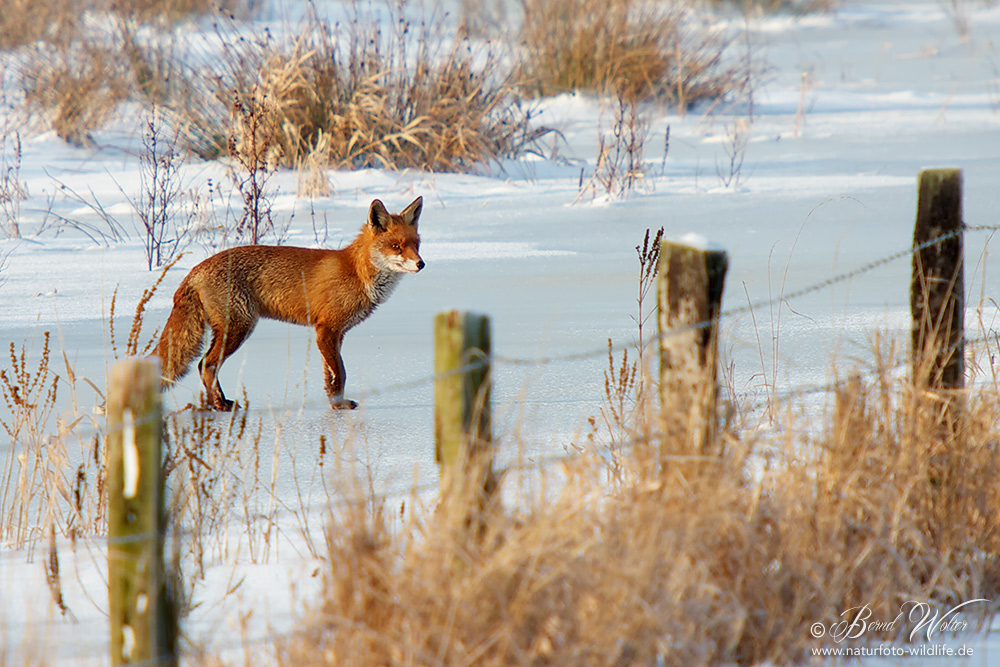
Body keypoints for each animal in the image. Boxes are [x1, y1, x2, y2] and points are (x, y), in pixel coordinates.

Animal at [154, 196, 424, 410]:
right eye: (396, 247)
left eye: (416, 245)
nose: (421, 264)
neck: (357, 272)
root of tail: (195, 269)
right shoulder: (326, 329)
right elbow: (341, 372)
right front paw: (338, 404)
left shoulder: (335, 334)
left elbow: (332, 375)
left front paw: (335, 404)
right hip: (239, 328)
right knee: (207, 365)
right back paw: (219, 406)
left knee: (203, 365)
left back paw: (219, 403)